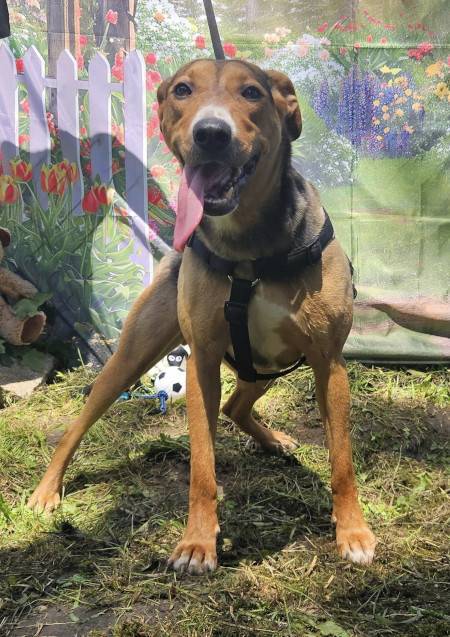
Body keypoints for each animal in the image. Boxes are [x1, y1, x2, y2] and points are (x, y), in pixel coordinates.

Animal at [28, 59, 377, 574]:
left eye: (252, 92)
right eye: (182, 90)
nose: (211, 133)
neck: (250, 249)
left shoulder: (328, 364)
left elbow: (343, 461)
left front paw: (353, 532)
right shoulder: (203, 362)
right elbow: (202, 465)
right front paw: (197, 542)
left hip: (266, 367)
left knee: (234, 406)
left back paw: (273, 440)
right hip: (129, 360)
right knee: (79, 426)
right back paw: (47, 490)